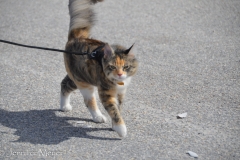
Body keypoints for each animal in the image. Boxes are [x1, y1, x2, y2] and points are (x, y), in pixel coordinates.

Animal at [60, 0, 138, 138]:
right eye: (112, 67)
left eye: (126, 67)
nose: (119, 74)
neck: (118, 83)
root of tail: (77, 37)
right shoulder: (106, 94)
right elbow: (114, 111)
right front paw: (121, 129)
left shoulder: (121, 93)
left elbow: (118, 109)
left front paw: (114, 126)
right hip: (84, 84)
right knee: (89, 102)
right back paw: (97, 116)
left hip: (81, 77)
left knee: (64, 84)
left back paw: (64, 105)